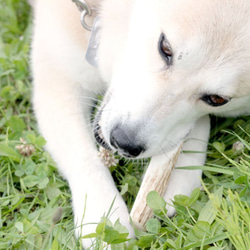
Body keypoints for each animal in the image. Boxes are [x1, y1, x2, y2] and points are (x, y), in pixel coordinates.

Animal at [30, 0, 250, 247]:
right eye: (165, 48)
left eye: (217, 99)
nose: (123, 141)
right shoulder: (59, 77)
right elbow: (83, 155)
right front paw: (103, 216)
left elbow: (195, 125)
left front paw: (182, 168)